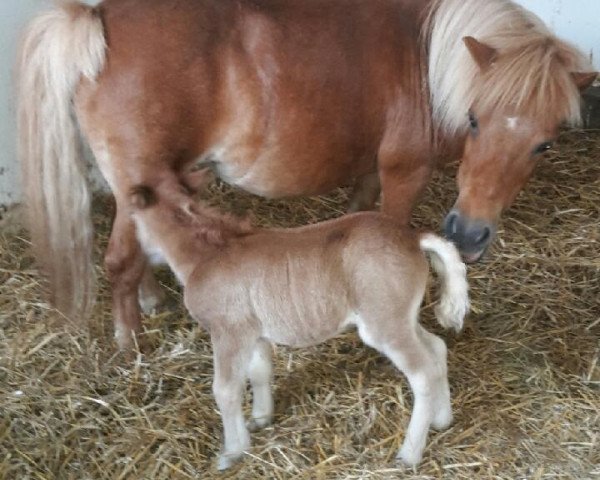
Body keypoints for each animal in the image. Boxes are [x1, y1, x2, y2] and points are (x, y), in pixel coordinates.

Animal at [17, 0, 596, 344]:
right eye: (474, 119)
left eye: (544, 143)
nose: (469, 235)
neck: (427, 66)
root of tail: (98, 20)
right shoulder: (405, 173)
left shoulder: (370, 169)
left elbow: (357, 211)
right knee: (118, 260)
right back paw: (131, 342)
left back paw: (152, 300)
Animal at [129, 176, 472, 468]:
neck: (206, 256)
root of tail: (412, 237)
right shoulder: (254, 333)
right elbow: (260, 371)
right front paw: (261, 419)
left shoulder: (229, 333)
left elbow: (225, 389)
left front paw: (232, 452)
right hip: (400, 317)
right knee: (437, 348)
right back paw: (442, 420)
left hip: (385, 325)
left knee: (423, 373)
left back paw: (409, 454)